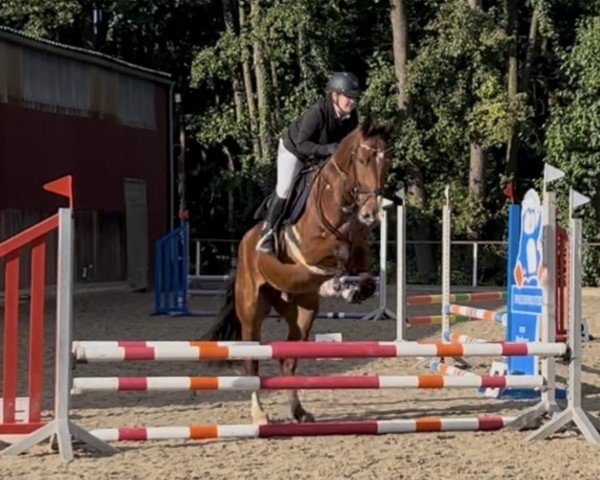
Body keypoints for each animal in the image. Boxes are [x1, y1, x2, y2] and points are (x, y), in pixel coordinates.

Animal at [206, 117, 394, 424]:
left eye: (386, 162)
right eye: (362, 160)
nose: (370, 215)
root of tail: (244, 243)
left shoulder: (360, 257)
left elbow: (365, 278)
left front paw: (353, 290)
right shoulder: (310, 252)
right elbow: (333, 263)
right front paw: (337, 285)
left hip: (302, 313)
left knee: (288, 359)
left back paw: (298, 410)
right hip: (251, 311)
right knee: (252, 361)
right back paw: (259, 415)